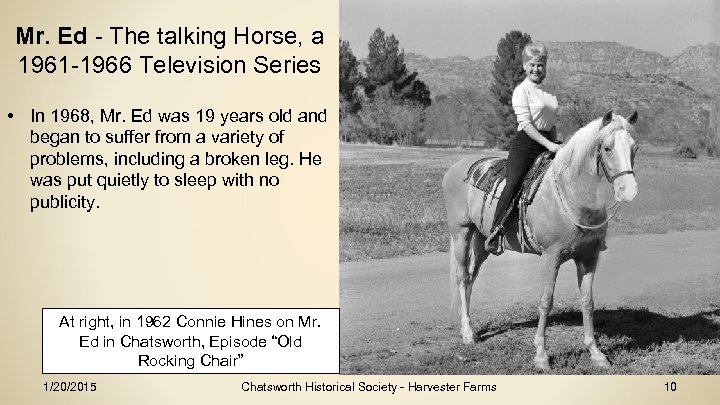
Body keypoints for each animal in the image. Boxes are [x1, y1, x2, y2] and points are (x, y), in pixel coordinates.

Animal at [442, 111, 639, 370]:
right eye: (607, 148)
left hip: (482, 240)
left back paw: (469, 328)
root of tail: (456, 167)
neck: (573, 194)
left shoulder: (589, 257)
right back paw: (467, 333)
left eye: (635, 148)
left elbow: (587, 302)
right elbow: (546, 301)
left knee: (471, 277)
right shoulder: (550, 257)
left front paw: (596, 353)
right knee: (463, 277)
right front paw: (541, 356)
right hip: (461, 233)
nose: (628, 191)